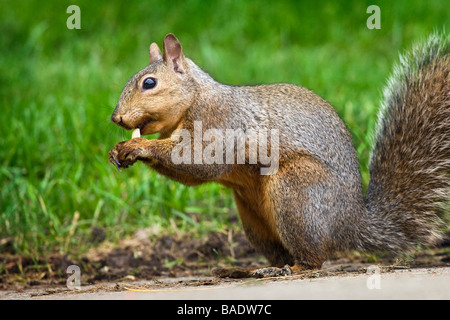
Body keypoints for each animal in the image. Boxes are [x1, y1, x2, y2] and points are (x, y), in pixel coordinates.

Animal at [110, 31, 450, 278]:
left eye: (149, 83)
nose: (115, 118)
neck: (196, 97)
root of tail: (349, 221)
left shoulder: (218, 122)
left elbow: (199, 162)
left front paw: (135, 147)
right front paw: (118, 151)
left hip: (296, 192)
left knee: (314, 258)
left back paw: (294, 269)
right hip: (254, 219)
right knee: (279, 251)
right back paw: (253, 269)